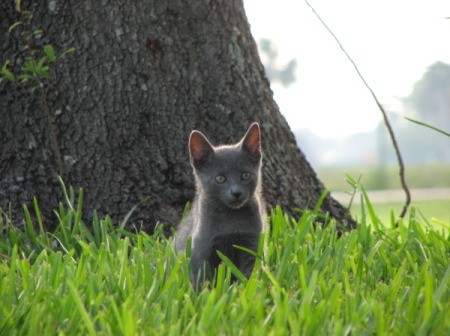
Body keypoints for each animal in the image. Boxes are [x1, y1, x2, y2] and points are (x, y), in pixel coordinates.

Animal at [176, 122, 266, 288]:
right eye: (220, 178)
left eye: (245, 175)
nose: (236, 192)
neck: (230, 218)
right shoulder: (201, 248)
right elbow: (202, 278)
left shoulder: (252, 243)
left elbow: (250, 273)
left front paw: (246, 290)